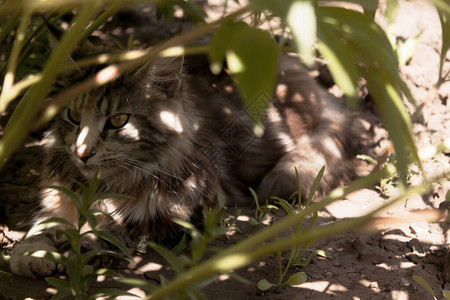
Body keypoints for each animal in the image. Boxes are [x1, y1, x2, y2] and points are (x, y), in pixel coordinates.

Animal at [9, 43, 362, 278]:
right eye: (73, 116)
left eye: (118, 121)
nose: (82, 153)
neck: (104, 187)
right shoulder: (57, 196)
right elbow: (44, 224)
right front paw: (31, 254)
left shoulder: (189, 212)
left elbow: (123, 227)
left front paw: (90, 241)